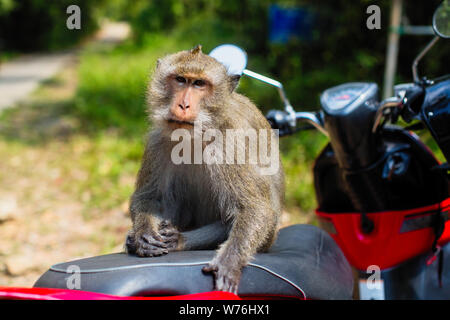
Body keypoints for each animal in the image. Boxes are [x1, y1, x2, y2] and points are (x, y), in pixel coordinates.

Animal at [124, 44, 284, 292]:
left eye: (199, 84)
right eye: (180, 80)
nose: (183, 105)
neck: (196, 135)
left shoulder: (228, 144)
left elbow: (255, 209)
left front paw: (229, 262)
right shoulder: (157, 142)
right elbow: (149, 197)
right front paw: (143, 234)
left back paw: (179, 240)